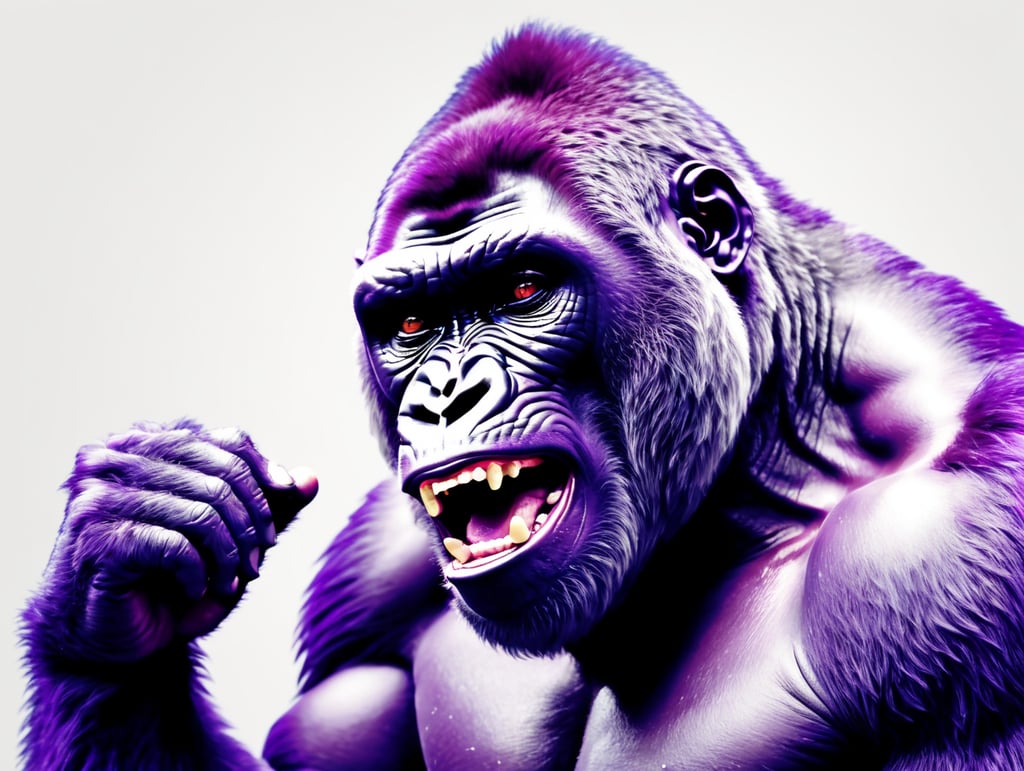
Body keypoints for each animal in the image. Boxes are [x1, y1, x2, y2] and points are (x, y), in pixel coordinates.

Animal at [21, 23, 1024, 770]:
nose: (445, 395)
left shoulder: (949, 555)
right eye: (409, 322)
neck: (781, 430)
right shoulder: (368, 575)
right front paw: (123, 575)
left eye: (523, 288)